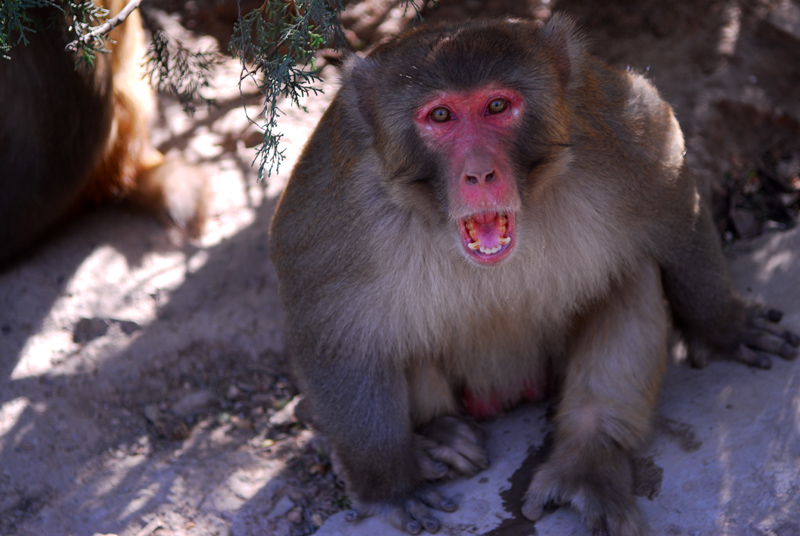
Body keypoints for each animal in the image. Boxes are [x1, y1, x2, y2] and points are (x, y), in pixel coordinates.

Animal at [270, 14, 800, 532]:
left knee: (634, 271)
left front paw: (726, 327)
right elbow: (332, 328)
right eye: (440, 116)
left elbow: (671, 195)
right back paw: (439, 434)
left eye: (497, 106)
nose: (480, 173)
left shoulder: (615, 135)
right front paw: (391, 487)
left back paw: (587, 456)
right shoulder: (338, 208)